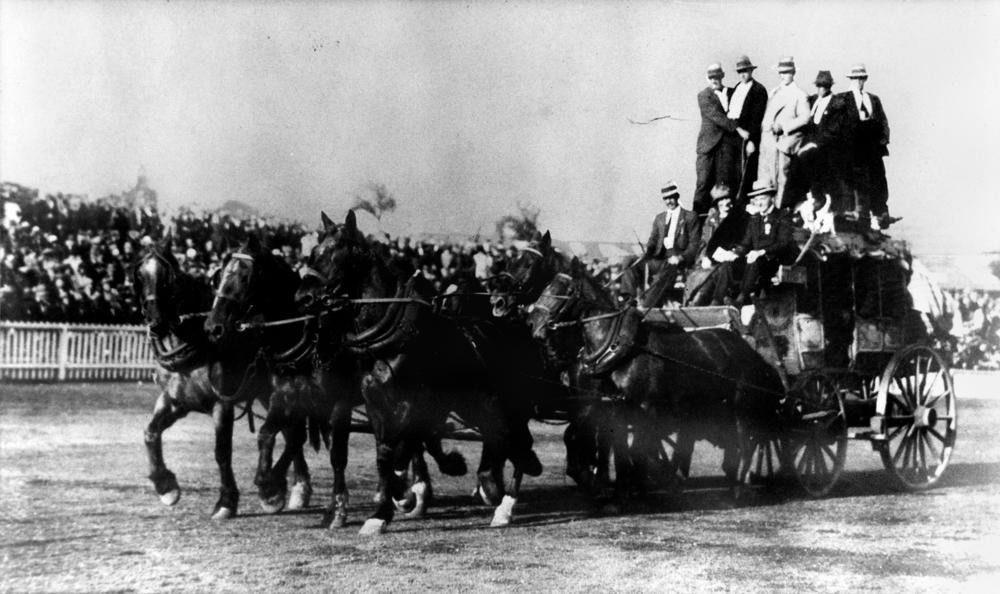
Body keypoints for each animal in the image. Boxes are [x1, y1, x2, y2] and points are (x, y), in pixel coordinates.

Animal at [133, 237, 310, 520]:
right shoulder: (174, 401)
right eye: (140, 275)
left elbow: (222, 452)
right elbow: (150, 433)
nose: (156, 322)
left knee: (294, 435)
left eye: (168, 277)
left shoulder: (222, 403)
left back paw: (281, 490)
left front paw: (226, 501)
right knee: (291, 433)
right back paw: (296, 491)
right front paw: (166, 486)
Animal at [300, 212, 544, 532]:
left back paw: (505, 503)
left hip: (511, 405)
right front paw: (386, 507)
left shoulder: (412, 404)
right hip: (477, 406)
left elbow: (398, 452)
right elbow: (386, 454)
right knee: (503, 439)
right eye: (314, 251)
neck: (393, 339)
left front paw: (401, 498)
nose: (304, 296)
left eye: (336, 252)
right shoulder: (377, 405)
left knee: (514, 441)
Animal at [524, 260, 788, 500]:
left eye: (562, 290)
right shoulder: (612, 408)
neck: (618, 347)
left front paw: (637, 487)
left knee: (747, 442)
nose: (533, 325)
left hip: (742, 406)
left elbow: (636, 450)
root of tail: (748, 349)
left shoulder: (646, 408)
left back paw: (739, 486)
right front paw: (620, 489)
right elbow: (619, 449)